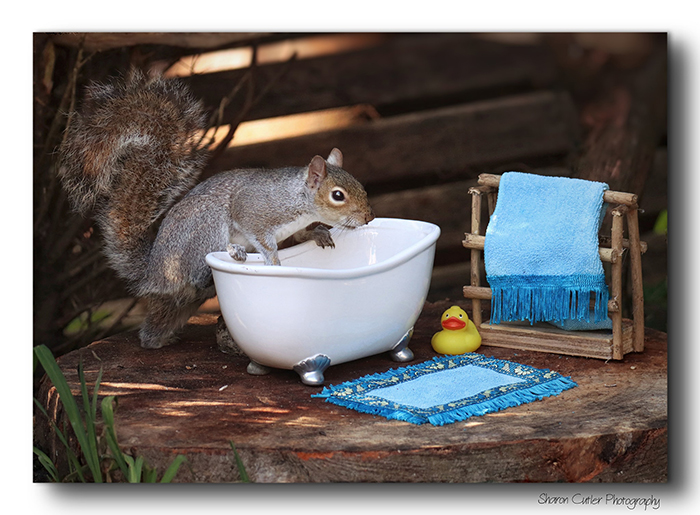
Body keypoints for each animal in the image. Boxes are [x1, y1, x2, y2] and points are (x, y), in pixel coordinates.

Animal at [57, 69, 375, 349]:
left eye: (359, 184)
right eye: (337, 195)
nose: (369, 216)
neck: (296, 199)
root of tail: (154, 270)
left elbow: (298, 237)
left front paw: (319, 233)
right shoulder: (253, 209)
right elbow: (262, 238)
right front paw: (275, 264)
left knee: (155, 328)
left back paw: (158, 340)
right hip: (206, 228)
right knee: (199, 275)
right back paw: (234, 254)